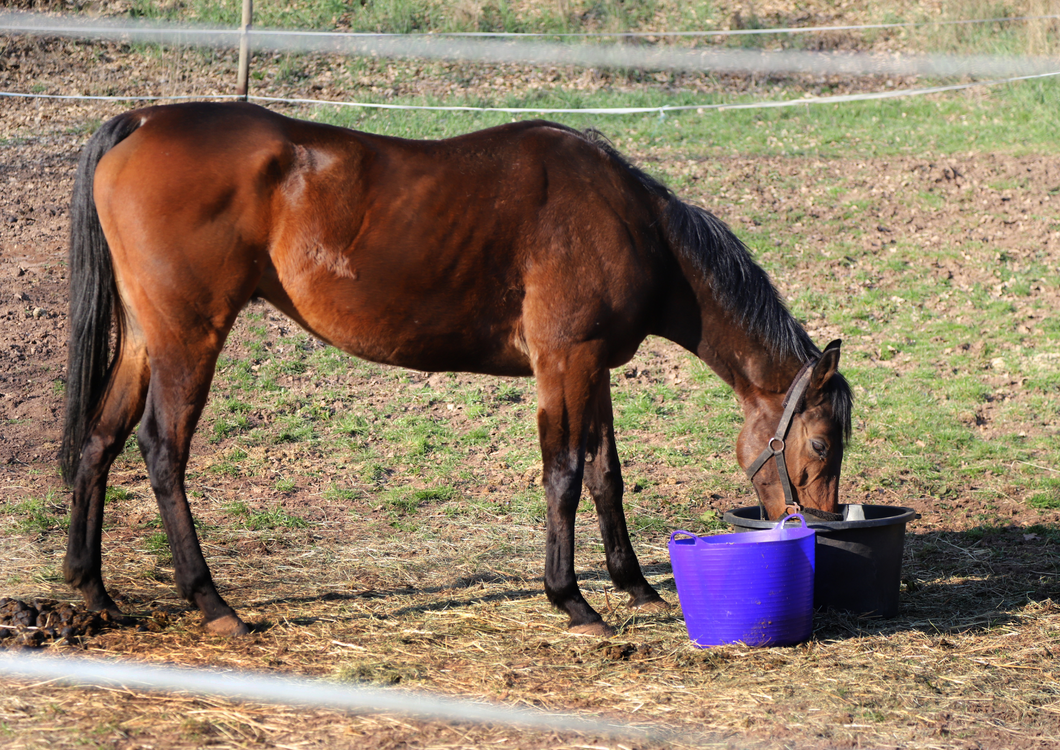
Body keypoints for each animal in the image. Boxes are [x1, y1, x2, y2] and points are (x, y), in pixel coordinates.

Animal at [60, 102, 852, 635]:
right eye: (819, 443)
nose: (814, 526)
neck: (631, 221)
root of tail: (143, 119)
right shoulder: (565, 361)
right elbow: (564, 475)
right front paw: (572, 600)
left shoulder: (592, 365)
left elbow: (606, 475)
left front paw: (634, 586)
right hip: (189, 337)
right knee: (162, 450)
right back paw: (211, 601)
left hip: (145, 338)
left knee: (100, 439)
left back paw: (92, 589)